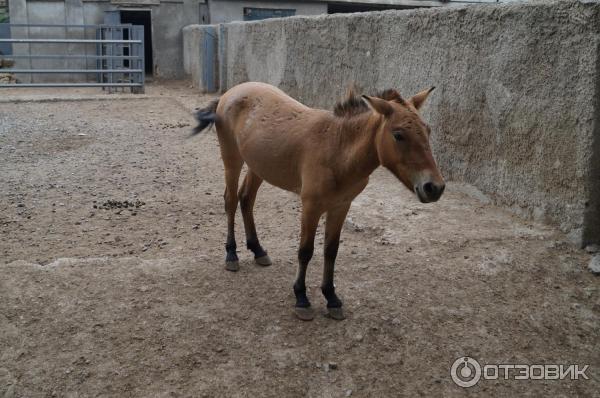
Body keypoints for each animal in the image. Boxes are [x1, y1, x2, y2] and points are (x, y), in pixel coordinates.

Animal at [192, 82, 446, 322]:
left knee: (246, 199)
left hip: (258, 166)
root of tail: (230, 92)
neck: (336, 149)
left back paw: (258, 250)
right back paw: (231, 255)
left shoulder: (341, 206)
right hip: (232, 159)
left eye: (428, 130)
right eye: (398, 135)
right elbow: (305, 251)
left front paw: (331, 298)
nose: (434, 188)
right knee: (231, 201)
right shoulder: (311, 207)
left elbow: (331, 251)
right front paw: (302, 298)